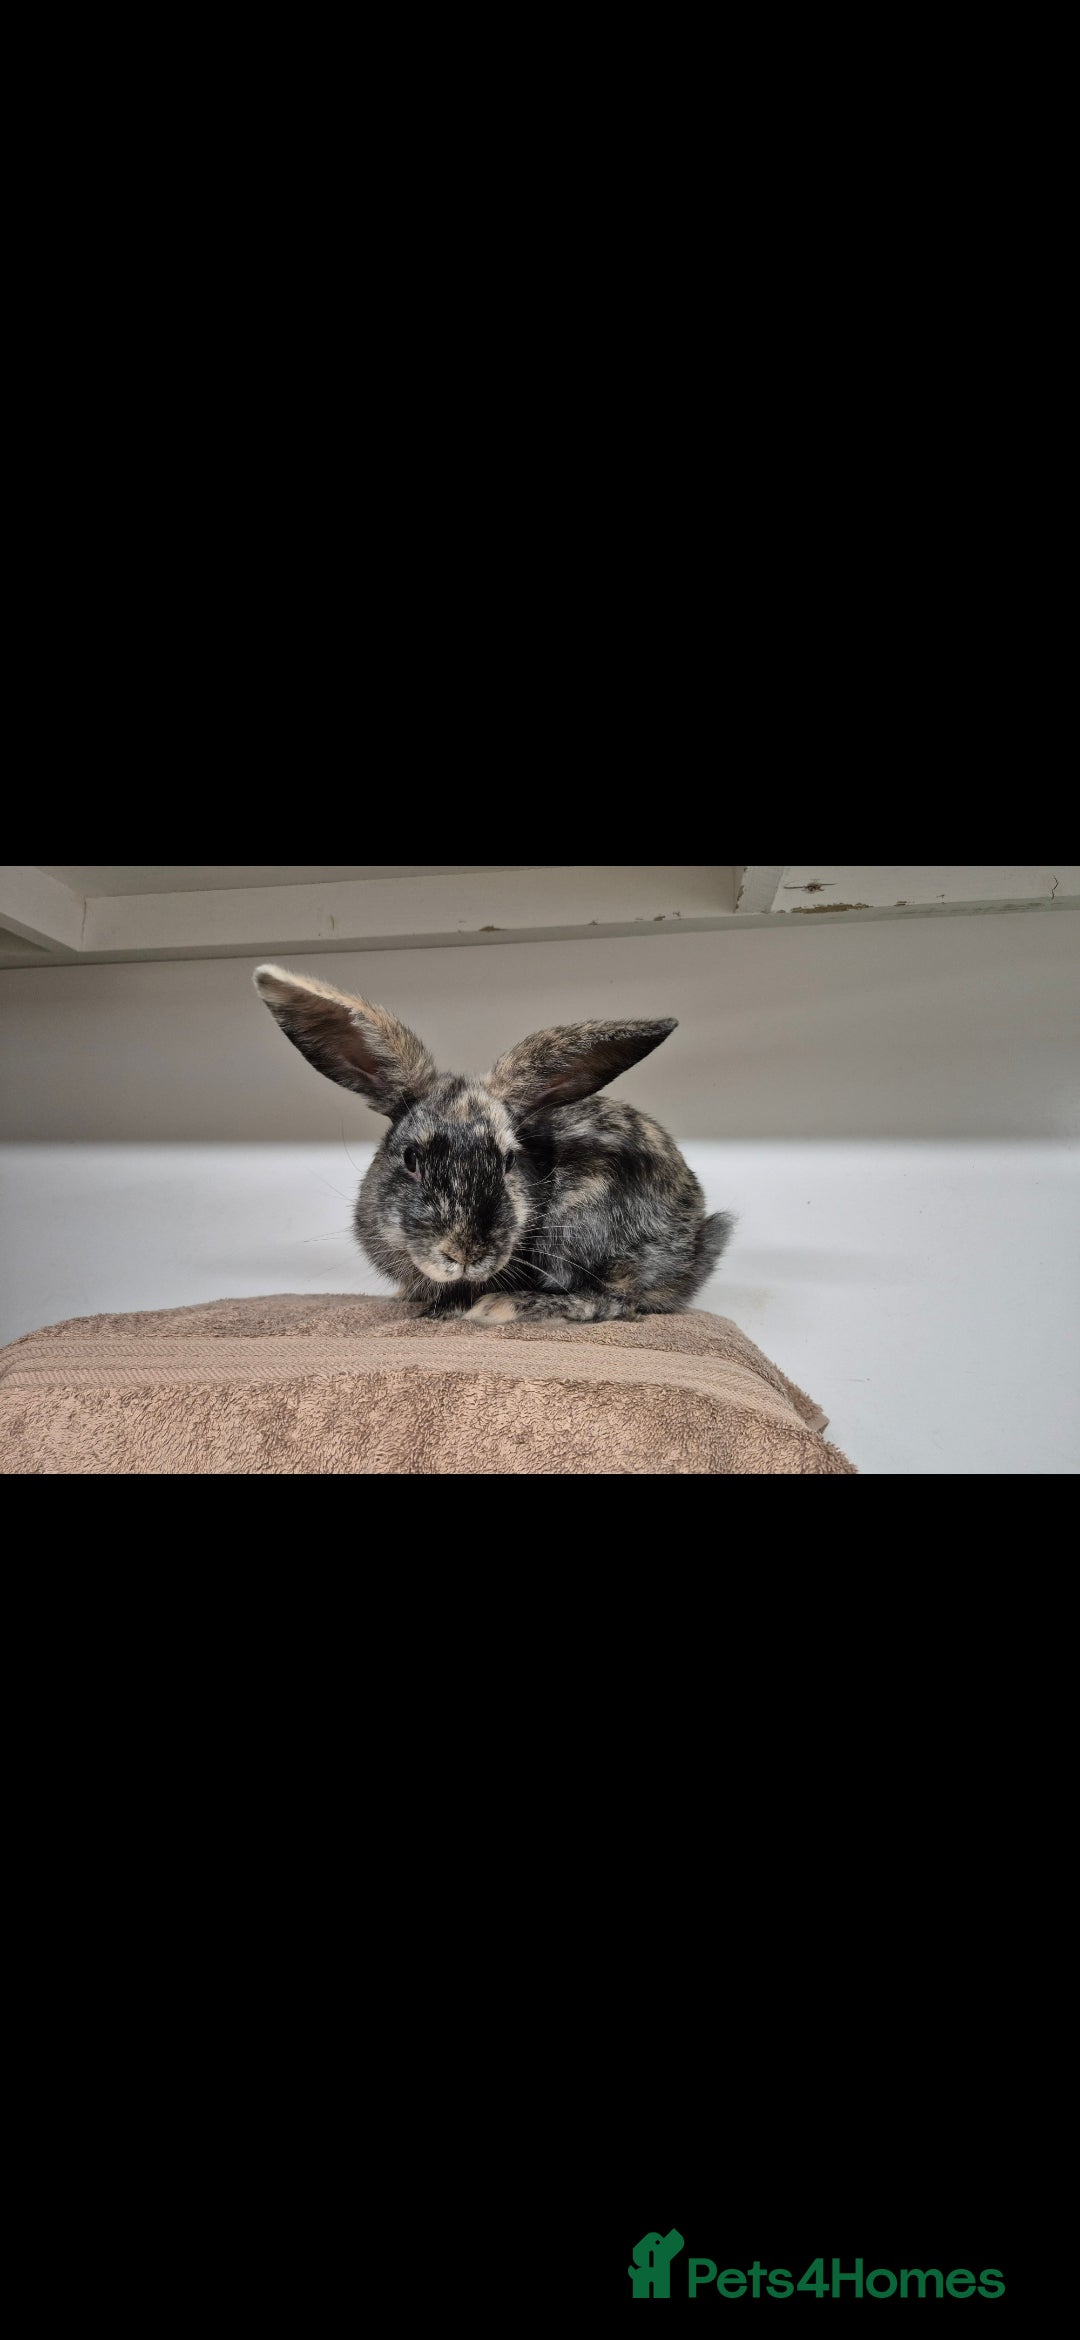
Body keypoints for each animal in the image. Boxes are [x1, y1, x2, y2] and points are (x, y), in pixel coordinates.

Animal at [254, 963, 733, 1322]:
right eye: (410, 1157)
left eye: (507, 1161)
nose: (465, 1251)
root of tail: (694, 1249)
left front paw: (453, 1306)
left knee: (615, 1299)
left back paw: (507, 1306)